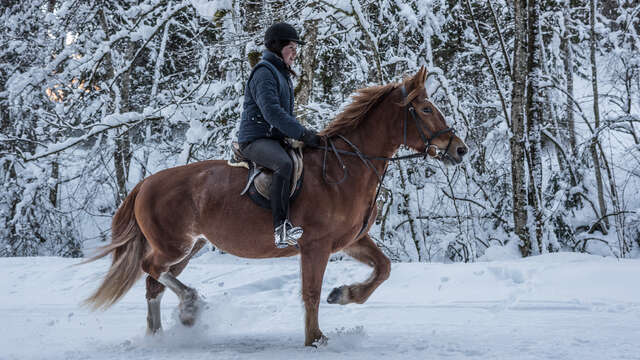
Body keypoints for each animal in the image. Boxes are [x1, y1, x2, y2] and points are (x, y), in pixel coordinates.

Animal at [84, 67, 464, 346]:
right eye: (426, 109)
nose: (460, 149)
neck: (345, 167)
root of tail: (145, 184)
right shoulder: (315, 246)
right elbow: (311, 292)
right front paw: (315, 339)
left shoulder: (352, 241)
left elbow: (383, 268)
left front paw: (343, 294)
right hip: (173, 246)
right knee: (151, 269)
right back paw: (190, 305)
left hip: (189, 247)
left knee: (154, 284)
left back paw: (160, 335)